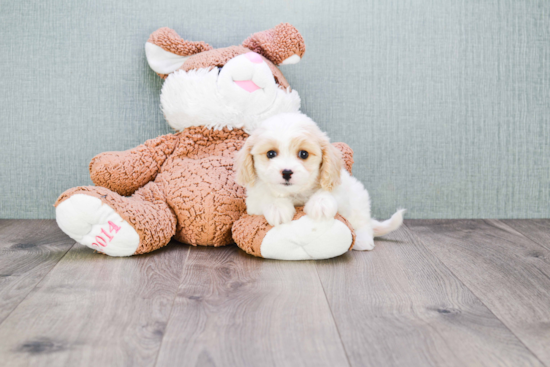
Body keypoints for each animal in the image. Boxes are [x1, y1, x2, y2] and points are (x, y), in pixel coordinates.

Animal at [234, 112, 406, 250]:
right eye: (270, 154)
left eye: (303, 154)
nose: (287, 172)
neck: (296, 194)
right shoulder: (253, 201)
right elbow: (267, 195)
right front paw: (278, 208)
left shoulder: (339, 187)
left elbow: (328, 192)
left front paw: (320, 204)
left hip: (358, 200)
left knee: (363, 223)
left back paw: (362, 241)